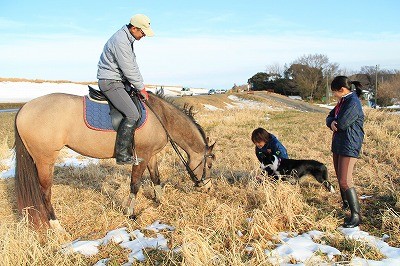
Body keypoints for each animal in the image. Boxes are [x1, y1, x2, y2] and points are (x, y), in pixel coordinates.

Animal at [14, 90, 216, 230]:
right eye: (209, 164)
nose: (209, 188)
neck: (161, 117)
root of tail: (24, 108)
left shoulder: (151, 155)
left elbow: (156, 178)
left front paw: (160, 201)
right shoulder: (141, 157)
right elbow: (135, 185)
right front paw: (130, 214)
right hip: (45, 160)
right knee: (45, 193)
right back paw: (57, 227)